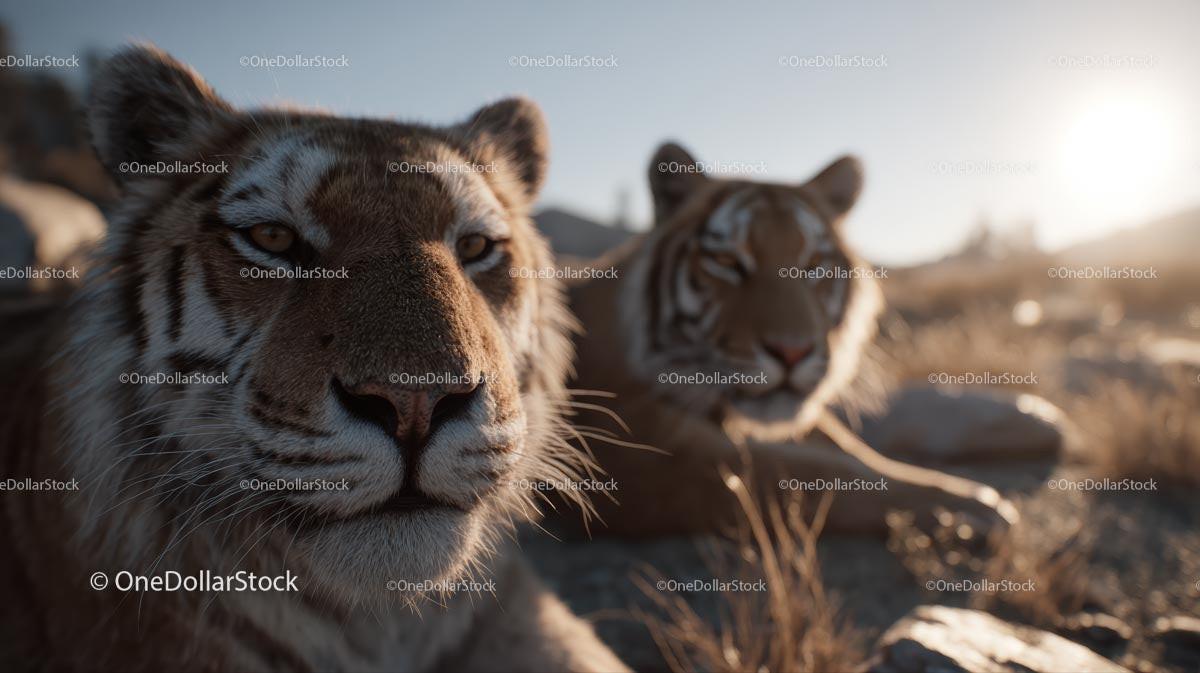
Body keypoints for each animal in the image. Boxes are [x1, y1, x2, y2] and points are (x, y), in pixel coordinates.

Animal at [560, 143, 1019, 537]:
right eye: (726, 261)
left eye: (813, 264)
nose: (792, 351)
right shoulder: (636, 452)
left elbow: (851, 449)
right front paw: (971, 508)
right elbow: (807, 472)